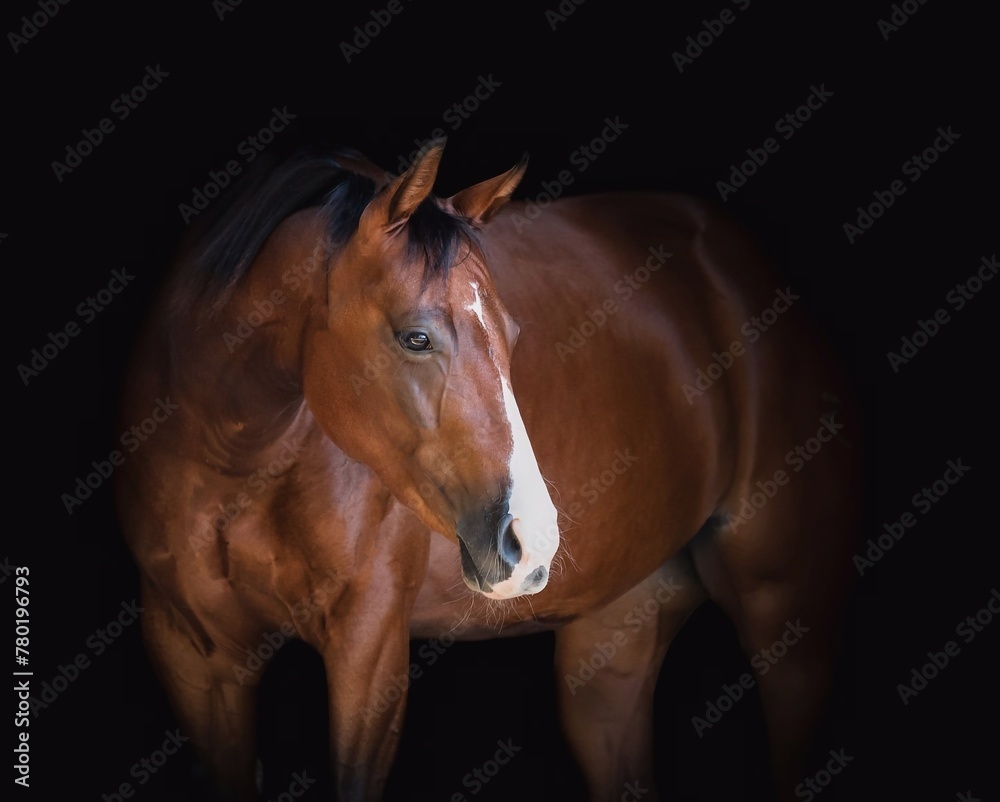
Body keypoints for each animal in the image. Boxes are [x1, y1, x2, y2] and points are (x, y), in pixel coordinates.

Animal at [114, 141, 860, 801]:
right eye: (415, 336)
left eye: (513, 335)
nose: (533, 541)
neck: (232, 466)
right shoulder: (193, 658)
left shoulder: (367, 649)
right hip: (612, 645)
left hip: (787, 624)